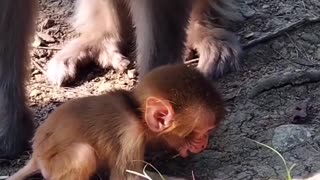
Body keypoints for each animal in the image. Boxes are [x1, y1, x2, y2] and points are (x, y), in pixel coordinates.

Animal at [9, 64, 225, 180]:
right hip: (52, 165)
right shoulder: (130, 135)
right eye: (203, 131)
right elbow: (128, 176)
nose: (204, 142)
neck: (135, 112)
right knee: (83, 154)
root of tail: (36, 155)